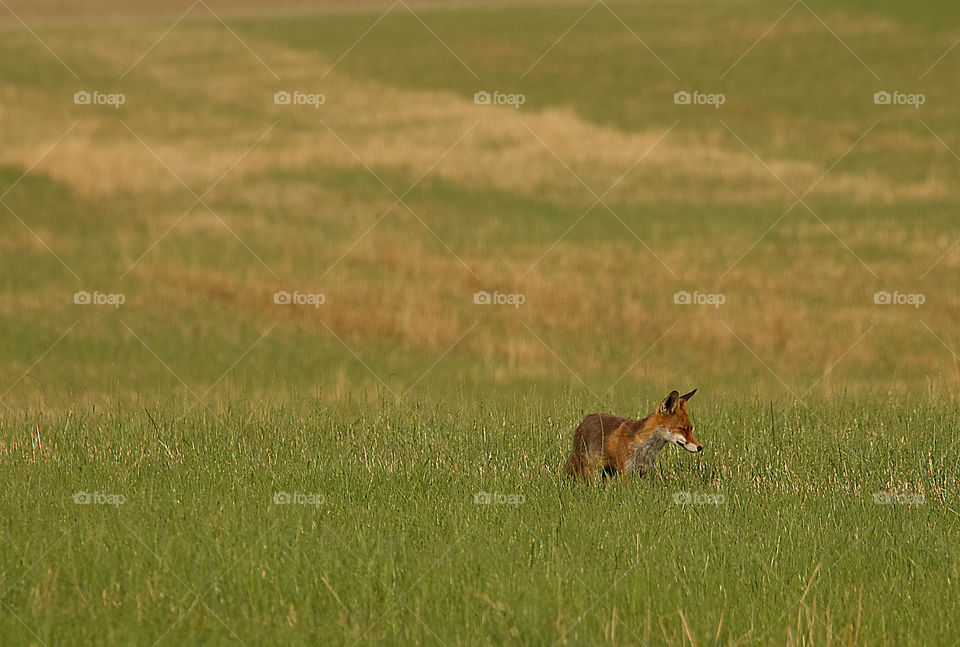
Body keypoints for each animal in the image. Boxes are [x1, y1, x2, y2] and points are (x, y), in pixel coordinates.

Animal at [564, 389, 701, 481]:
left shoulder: (644, 472)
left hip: (607, 472)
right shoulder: (624, 471)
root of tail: (585, 419)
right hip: (589, 471)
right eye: (682, 429)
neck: (645, 448)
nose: (700, 447)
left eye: (690, 429)